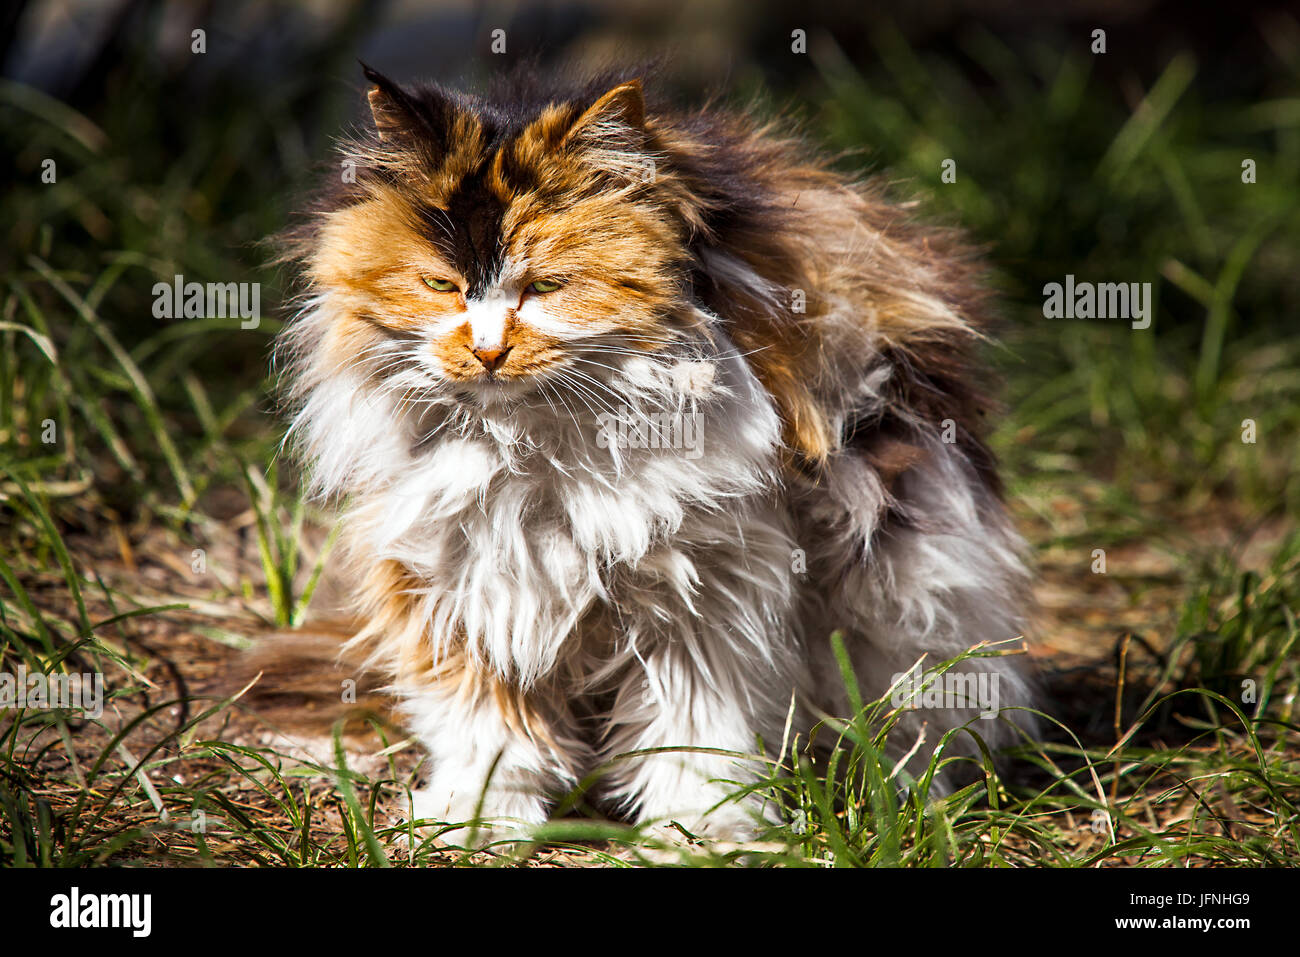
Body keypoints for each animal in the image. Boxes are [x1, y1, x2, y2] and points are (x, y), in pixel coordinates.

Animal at [274, 63, 1034, 842]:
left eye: (547, 286)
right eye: (439, 285)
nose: (487, 351)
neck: (536, 452)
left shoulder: (703, 587)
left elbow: (696, 726)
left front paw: (700, 830)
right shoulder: (462, 574)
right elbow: (485, 722)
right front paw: (479, 816)